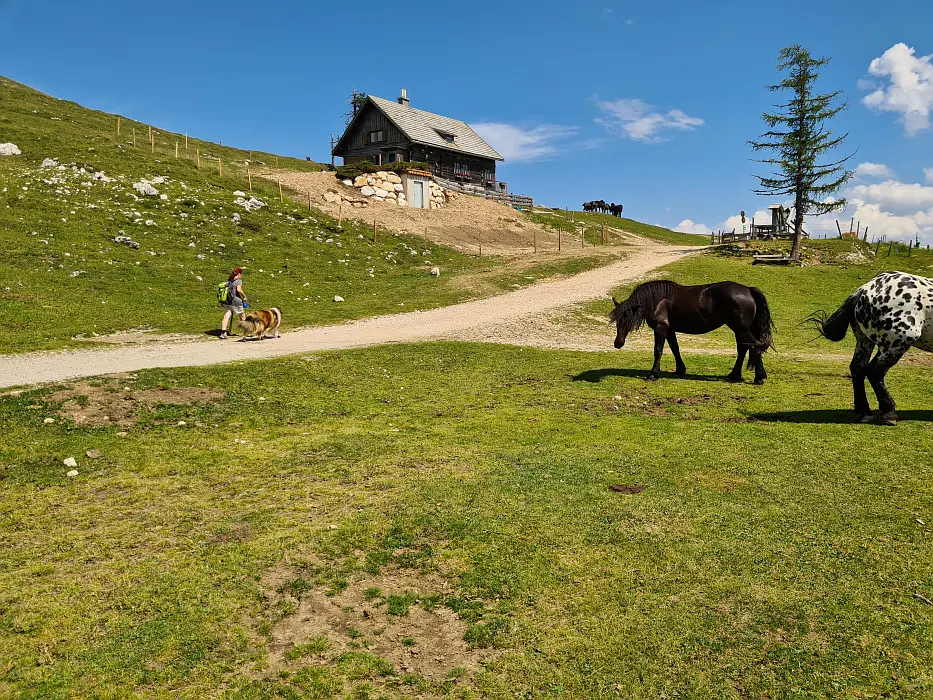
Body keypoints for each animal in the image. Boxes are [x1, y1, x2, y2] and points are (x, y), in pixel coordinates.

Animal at [608, 280, 776, 382]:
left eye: (627, 321)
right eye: (617, 321)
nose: (618, 343)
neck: (658, 300)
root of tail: (748, 290)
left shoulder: (661, 328)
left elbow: (658, 351)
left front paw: (652, 375)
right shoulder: (670, 330)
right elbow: (675, 348)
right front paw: (680, 369)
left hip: (741, 329)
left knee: (753, 347)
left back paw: (758, 378)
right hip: (740, 330)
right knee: (744, 349)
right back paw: (734, 375)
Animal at [808, 270, 932, 424]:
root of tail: (862, 291)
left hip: (864, 341)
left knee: (858, 368)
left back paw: (865, 412)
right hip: (896, 343)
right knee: (874, 371)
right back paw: (888, 413)